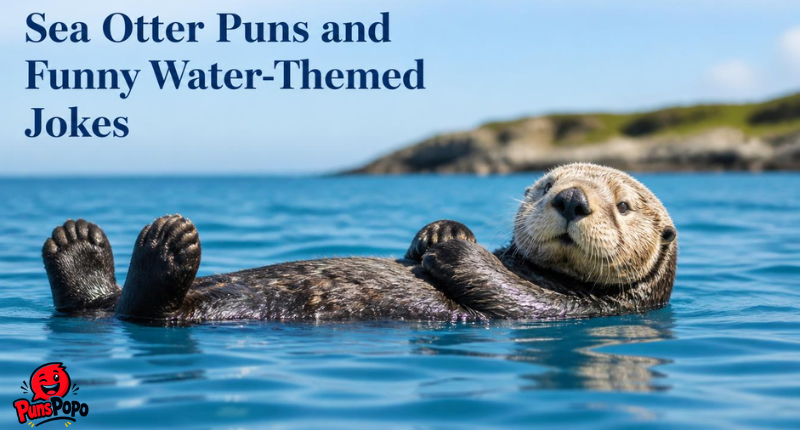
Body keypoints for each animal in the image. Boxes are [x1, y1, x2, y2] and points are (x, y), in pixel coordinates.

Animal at [41, 163, 677, 323]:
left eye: (623, 205)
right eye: (546, 186)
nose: (570, 199)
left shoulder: (568, 307)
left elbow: (506, 295)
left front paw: (451, 245)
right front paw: (437, 231)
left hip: (173, 309)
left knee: (147, 309)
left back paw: (167, 242)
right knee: (103, 308)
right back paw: (77, 246)